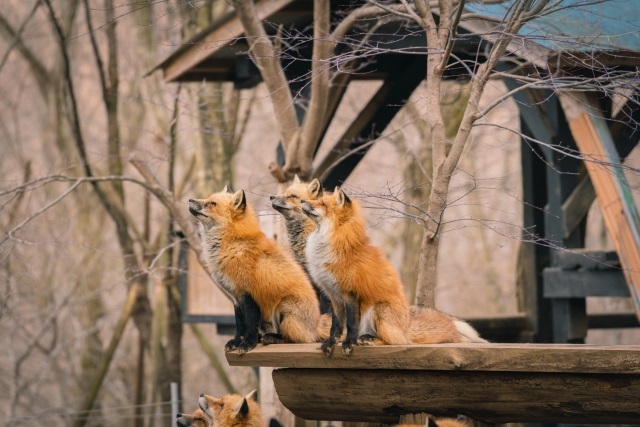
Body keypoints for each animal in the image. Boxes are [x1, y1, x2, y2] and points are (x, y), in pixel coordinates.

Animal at [189, 187, 330, 353]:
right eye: (208, 199)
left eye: (212, 203)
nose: (190, 200)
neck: (233, 245)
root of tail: (316, 323)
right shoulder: (236, 296)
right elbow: (240, 325)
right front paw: (236, 342)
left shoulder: (249, 293)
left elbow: (250, 324)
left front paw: (248, 344)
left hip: (283, 309)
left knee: (297, 339)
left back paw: (273, 338)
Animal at [301, 188, 485, 355]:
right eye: (318, 200)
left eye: (322, 203)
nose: (302, 200)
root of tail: (406, 325)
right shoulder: (334, 296)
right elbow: (336, 326)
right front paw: (330, 343)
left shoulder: (350, 293)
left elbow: (351, 325)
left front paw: (348, 344)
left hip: (379, 309)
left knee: (396, 341)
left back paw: (368, 340)